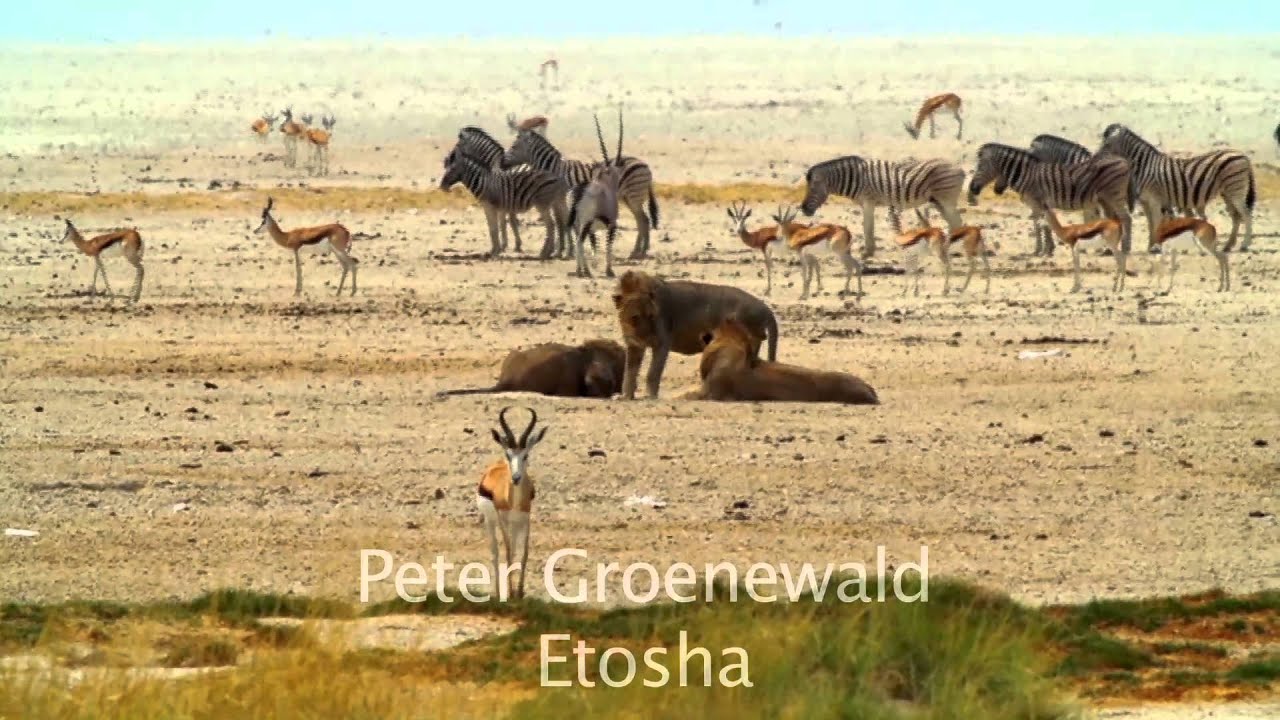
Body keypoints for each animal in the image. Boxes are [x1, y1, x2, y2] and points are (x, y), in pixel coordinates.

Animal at [612, 270, 779, 400]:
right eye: (635, 317)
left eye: (652, 315)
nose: (646, 336)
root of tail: (764, 307)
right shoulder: (634, 345)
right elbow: (629, 371)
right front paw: (626, 396)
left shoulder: (662, 342)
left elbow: (653, 371)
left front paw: (650, 396)